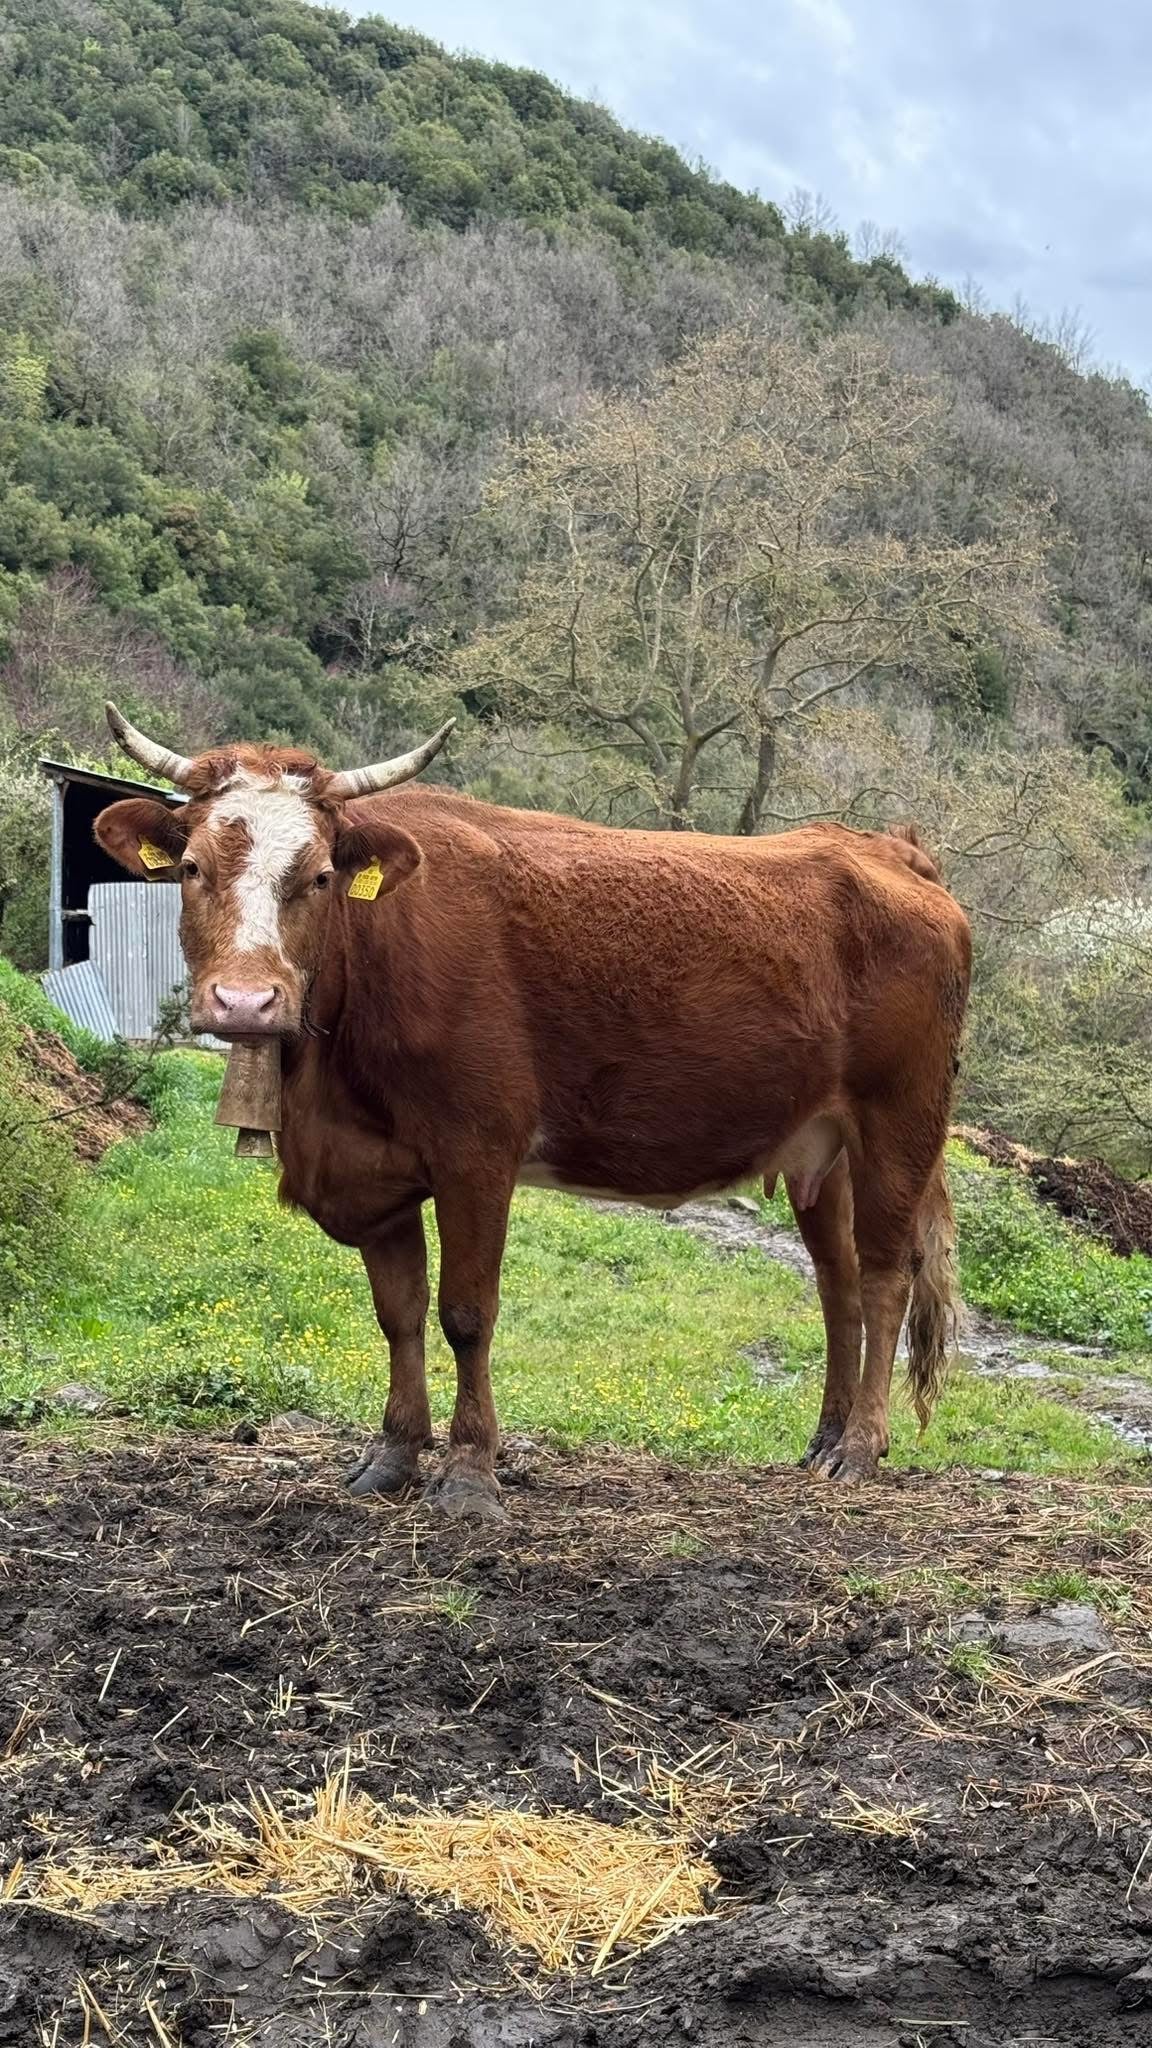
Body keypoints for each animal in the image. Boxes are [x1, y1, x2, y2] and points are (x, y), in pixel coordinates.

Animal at [94, 704, 971, 1521]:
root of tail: (886, 848)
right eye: (193, 868)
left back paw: (861, 1447)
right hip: (820, 1147)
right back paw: (822, 1439)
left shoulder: (479, 1150)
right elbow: (398, 1315)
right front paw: (392, 1455)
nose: (246, 999)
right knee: (838, 1282)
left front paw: (469, 1475)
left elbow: (465, 1313)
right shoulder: (373, 1169)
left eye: (317, 876)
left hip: (900, 1121)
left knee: (886, 1275)